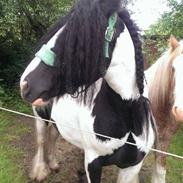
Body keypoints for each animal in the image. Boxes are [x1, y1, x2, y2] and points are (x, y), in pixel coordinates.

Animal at [21, 0, 156, 182]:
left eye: (77, 37)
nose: (25, 84)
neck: (129, 117)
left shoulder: (132, 167)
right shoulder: (93, 164)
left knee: (54, 135)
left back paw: (53, 164)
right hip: (40, 116)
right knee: (42, 140)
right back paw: (40, 171)